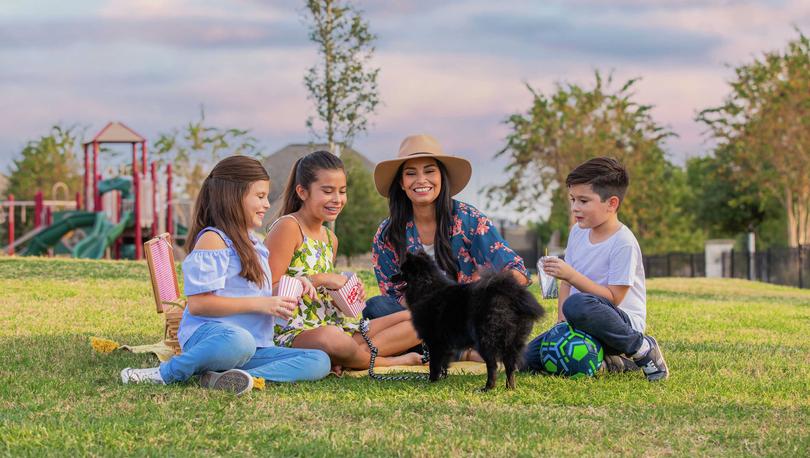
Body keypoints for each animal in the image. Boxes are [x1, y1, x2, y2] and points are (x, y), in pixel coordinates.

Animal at [392, 250, 544, 390]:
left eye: (402, 271)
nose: (391, 277)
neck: (427, 288)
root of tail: (510, 295)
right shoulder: (444, 345)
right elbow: (442, 364)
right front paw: (441, 379)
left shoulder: (435, 342)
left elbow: (433, 365)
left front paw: (432, 381)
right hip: (512, 341)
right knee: (510, 365)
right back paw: (510, 387)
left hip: (485, 341)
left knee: (493, 366)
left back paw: (488, 388)